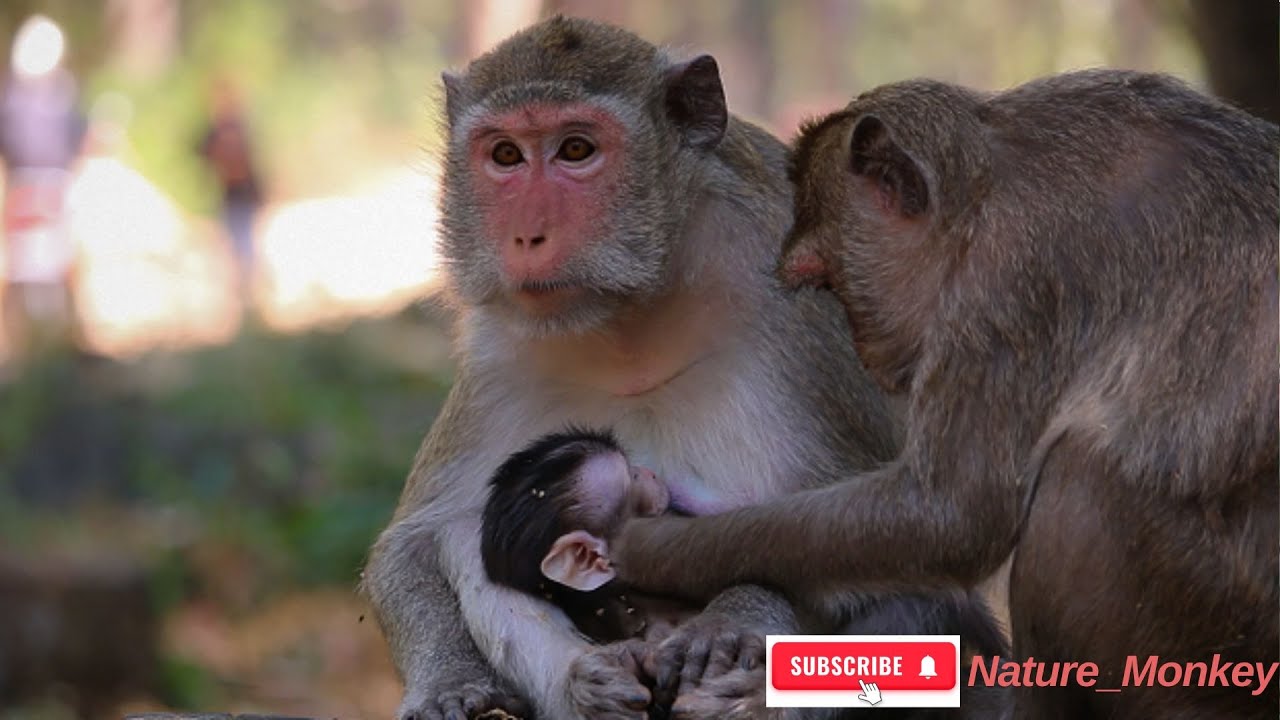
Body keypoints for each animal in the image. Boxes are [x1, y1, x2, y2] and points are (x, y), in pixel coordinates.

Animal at [362, 16, 1008, 720]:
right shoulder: (500, 350)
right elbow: (413, 544)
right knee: (463, 534)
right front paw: (449, 682)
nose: (527, 237)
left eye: (577, 149)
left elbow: (881, 542)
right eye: (505, 155)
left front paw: (731, 622)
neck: (637, 315)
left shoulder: (799, 313)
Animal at [610, 69, 1280, 719]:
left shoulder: (1008, 283)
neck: (986, 184)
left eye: (832, 283)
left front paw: (651, 546)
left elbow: (950, 515)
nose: (863, 347)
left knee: (1076, 483)